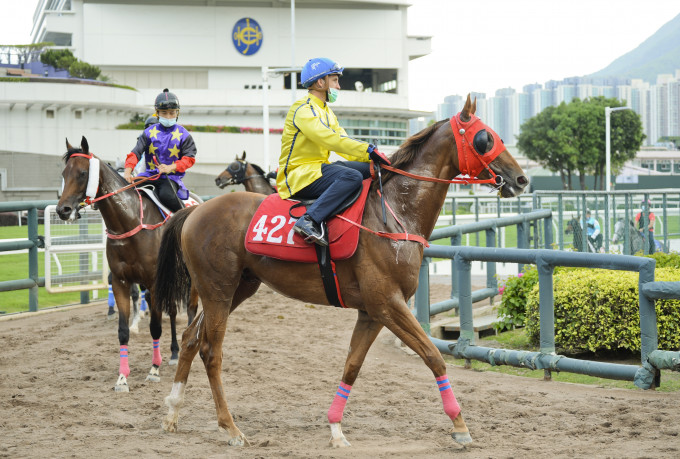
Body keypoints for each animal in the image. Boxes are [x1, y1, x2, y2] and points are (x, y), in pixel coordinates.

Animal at [56, 137, 199, 392]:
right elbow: (123, 332)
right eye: (64, 173)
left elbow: (155, 327)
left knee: (191, 310)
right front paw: (122, 378)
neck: (130, 222)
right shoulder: (122, 282)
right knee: (173, 311)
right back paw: (174, 353)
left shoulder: (153, 283)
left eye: (82, 173)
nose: (63, 210)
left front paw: (154, 370)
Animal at [155, 95, 532, 448]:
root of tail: (194, 211)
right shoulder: (388, 303)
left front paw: (336, 429)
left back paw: (172, 412)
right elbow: (433, 355)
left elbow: (352, 365)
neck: (394, 213)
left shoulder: (372, 312)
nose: (521, 178)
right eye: (485, 138)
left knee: (190, 338)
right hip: (218, 289)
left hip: (236, 289)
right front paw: (460, 426)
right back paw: (231, 428)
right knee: (211, 351)